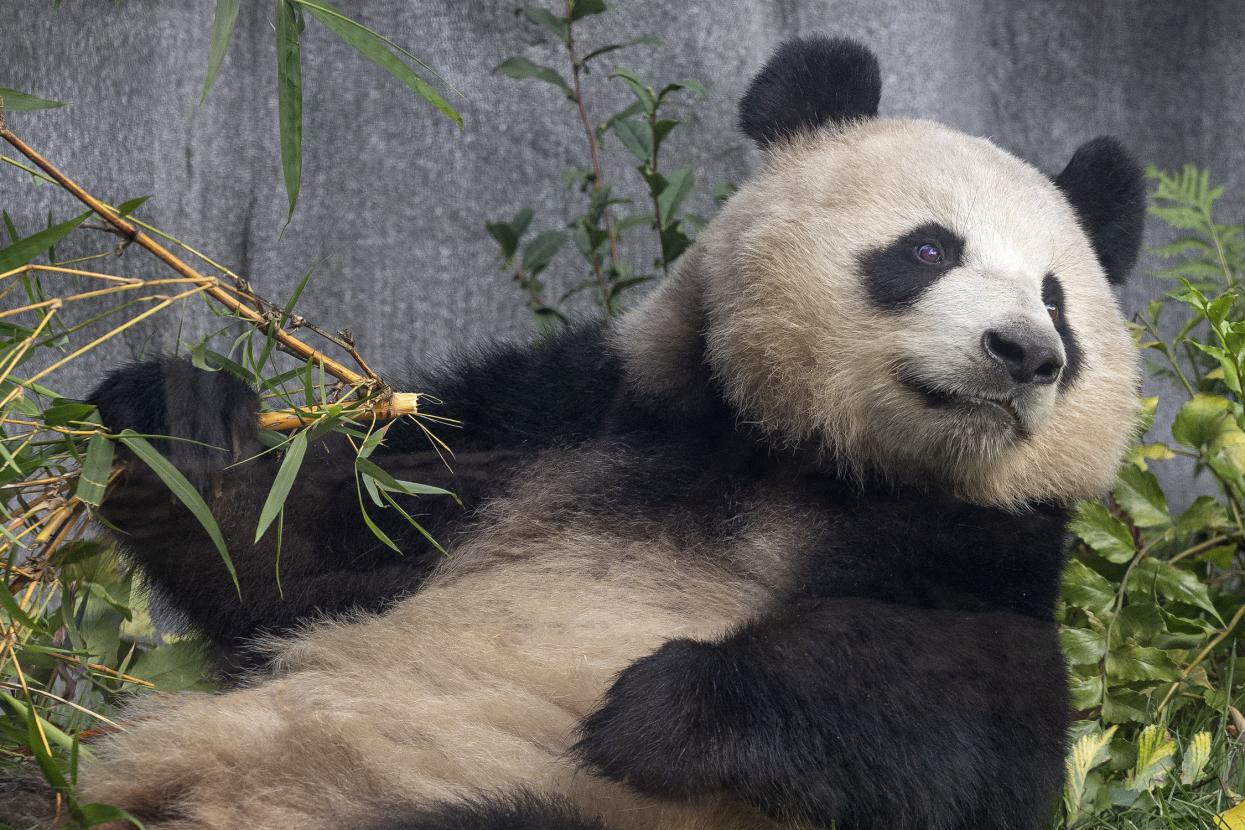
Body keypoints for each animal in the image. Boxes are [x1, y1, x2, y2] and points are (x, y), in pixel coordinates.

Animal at [62, 35, 1144, 830]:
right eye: (927, 250)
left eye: (1058, 298)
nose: (1026, 354)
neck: (801, 460)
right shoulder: (572, 421)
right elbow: (316, 546)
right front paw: (184, 426)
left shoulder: (975, 551)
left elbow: (961, 713)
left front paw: (665, 707)